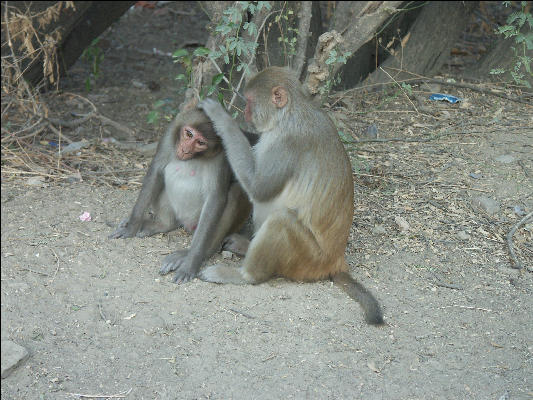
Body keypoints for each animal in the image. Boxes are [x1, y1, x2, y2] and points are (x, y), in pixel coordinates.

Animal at [200, 67, 382, 324]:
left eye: (250, 101)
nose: (245, 113)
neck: (288, 114)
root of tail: (336, 261)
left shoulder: (285, 142)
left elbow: (259, 188)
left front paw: (221, 119)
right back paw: (246, 246)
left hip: (308, 258)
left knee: (280, 220)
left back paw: (246, 275)